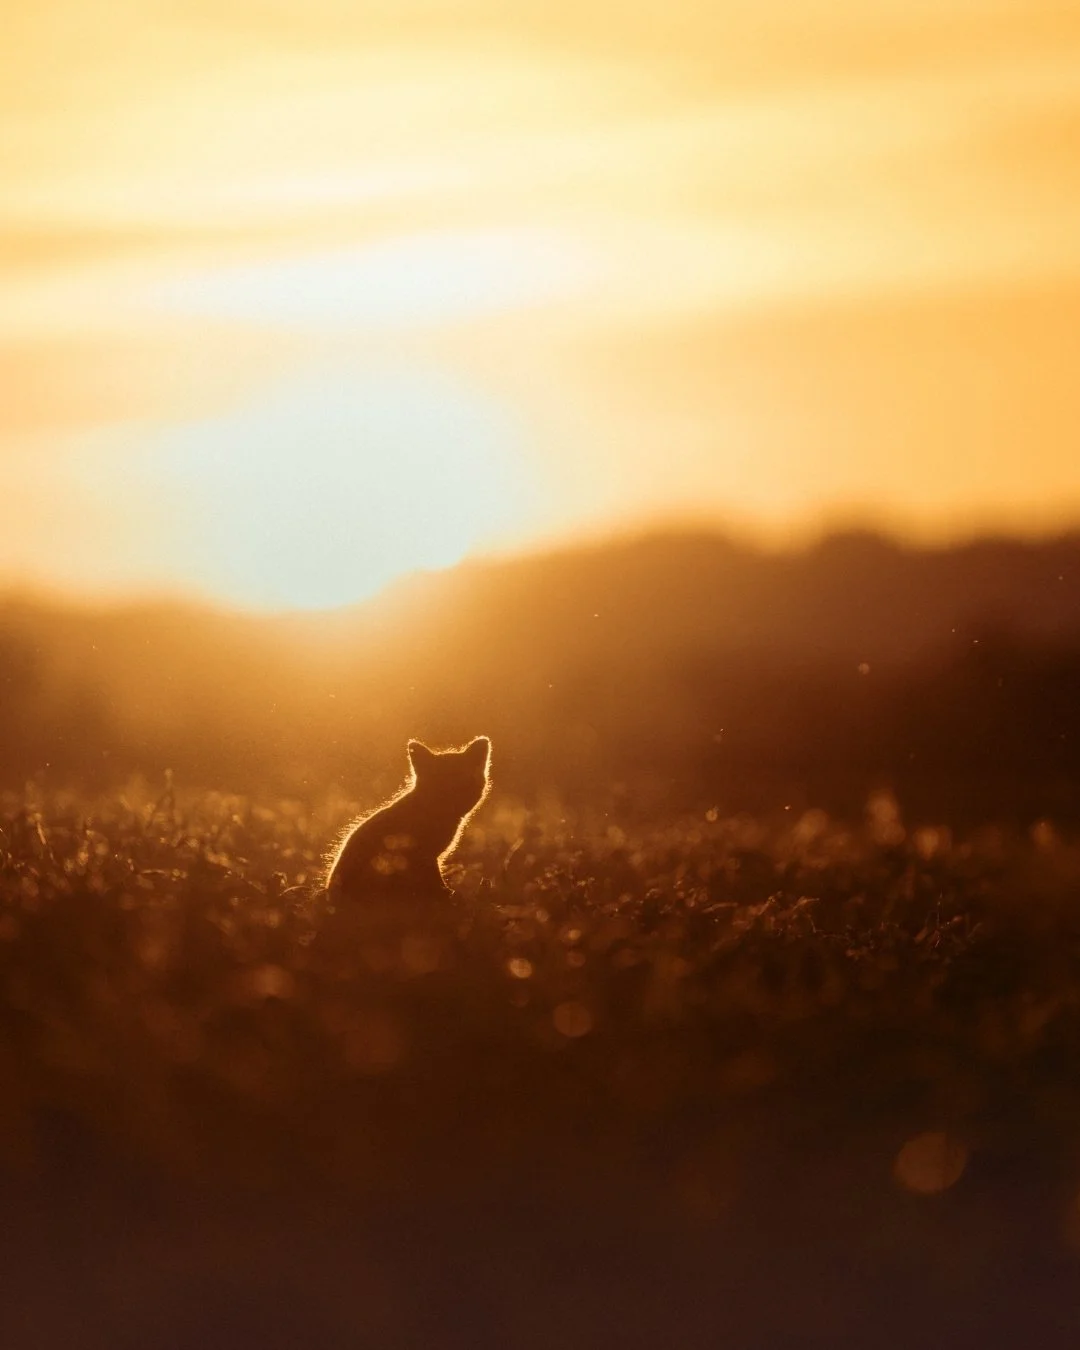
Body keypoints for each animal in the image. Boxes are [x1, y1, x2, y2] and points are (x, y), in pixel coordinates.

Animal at [325, 737, 492, 900]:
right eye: (437, 785)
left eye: (463, 784)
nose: (450, 800)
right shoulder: (423, 855)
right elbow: (434, 879)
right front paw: (446, 894)